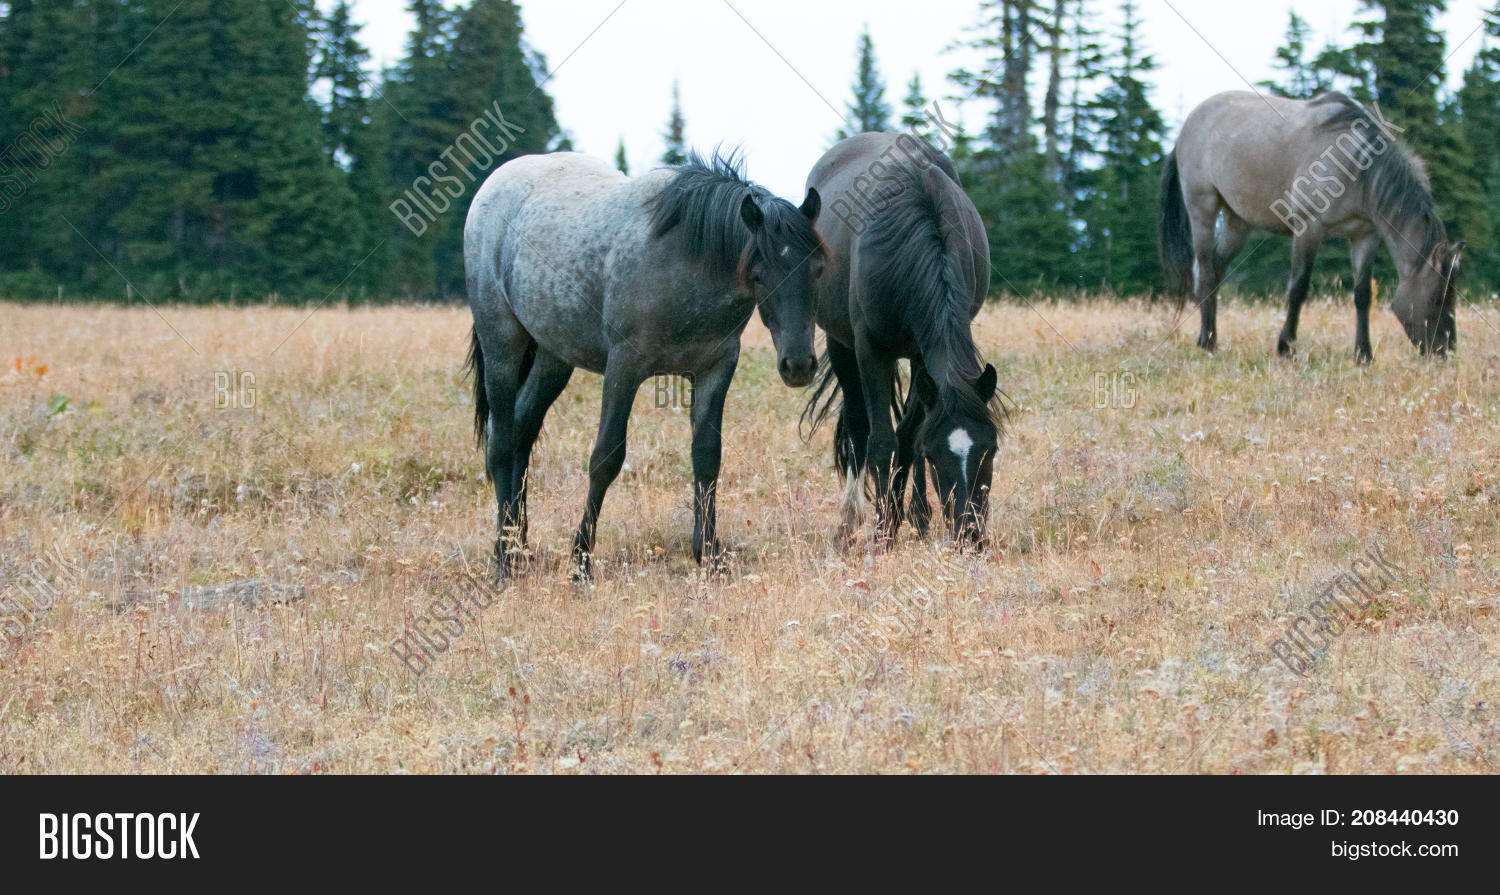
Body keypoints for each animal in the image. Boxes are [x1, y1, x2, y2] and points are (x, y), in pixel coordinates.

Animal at [464, 149, 825, 578]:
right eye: (758, 274)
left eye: (817, 269)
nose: (799, 365)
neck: (687, 257)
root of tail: (493, 184)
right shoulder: (625, 367)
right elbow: (605, 459)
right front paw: (581, 561)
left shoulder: (716, 368)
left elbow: (707, 457)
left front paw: (709, 555)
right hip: (502, 344)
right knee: (501, 442)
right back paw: (504, 558)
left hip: (554, 358)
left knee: (522, 431)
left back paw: (516, 544)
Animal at [801, 133, 1001, 547]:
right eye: (938, 456)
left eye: (989, 450)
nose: (969, 535)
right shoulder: (870, 351)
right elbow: (883, 442)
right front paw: (883, 532)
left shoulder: (923, 355)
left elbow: (909, 437)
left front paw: (904, 517)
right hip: (840, 343)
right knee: (858, 426)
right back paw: (849, 521)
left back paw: (919, 516)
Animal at [1160, 90, 1462, 362]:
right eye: (1437, 298)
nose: (1446, 350)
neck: (1356, 166)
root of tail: (1189, 123)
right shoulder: (1308, 229)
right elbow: (1298, 288)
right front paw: (1286, 348)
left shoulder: (1364, 236)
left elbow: (1363, 294)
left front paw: (1363, 354)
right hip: (1203, 209)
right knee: (1205, 271)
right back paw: (1207, 342)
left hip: (1237, 222)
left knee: (1216, 271)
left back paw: (1212, 336)